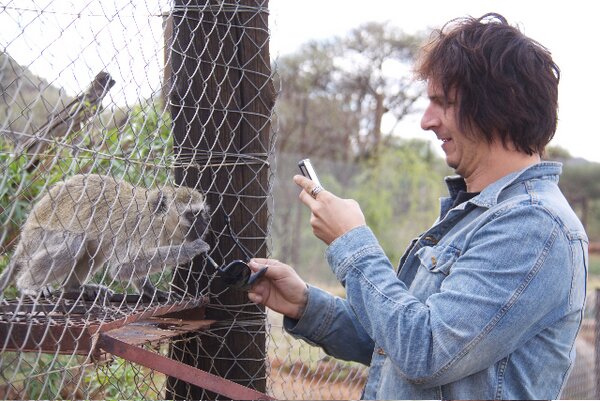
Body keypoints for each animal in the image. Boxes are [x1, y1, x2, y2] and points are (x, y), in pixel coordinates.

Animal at [0, 173, 211, 302]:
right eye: (192, 215)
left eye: (201, 214)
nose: (204, 225)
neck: (159, 219)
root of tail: (23, 239)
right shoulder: (142, 228)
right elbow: (122, 267)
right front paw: (193, 248)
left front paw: (150, 291)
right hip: (37, 239)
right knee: (74, 242)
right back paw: (27, 285)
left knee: (94, 249)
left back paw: (73, 288)